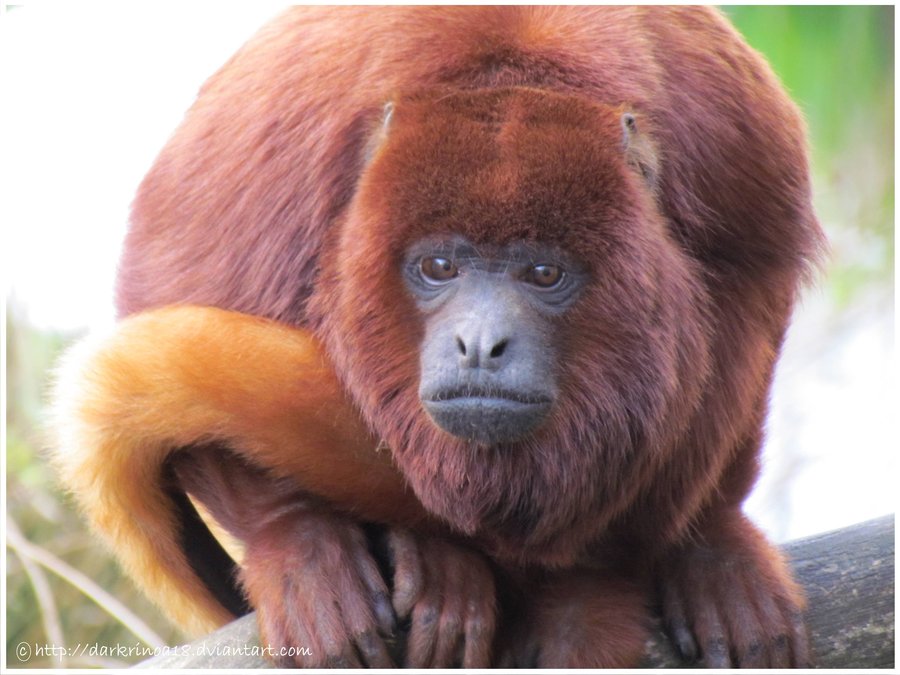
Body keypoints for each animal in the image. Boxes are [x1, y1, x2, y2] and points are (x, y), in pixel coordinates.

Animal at [50, 6, 825, 668]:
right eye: (439, 266)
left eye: (543, 271)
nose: (480, 344)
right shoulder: (266, 165)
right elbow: (176, 295)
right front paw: (295, 535)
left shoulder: (737, 154)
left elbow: (751, 308)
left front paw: (678, 554)